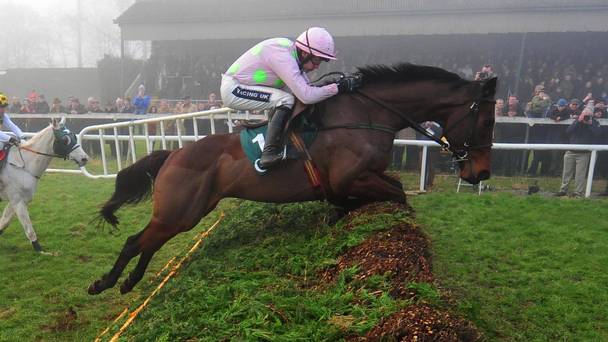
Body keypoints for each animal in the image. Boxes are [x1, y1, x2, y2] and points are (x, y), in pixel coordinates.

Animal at [0, 117, 89, 251]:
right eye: (65, 140)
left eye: (73, 136)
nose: (84, 158)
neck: (23, 165)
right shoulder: (17, 201)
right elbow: (29, 228)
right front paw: (39, 249)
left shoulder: (16, 200)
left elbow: (4, 222)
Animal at [90, 63, 496, 294]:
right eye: (487, 122)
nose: (481, 172)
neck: (366, 116)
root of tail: (173, 154)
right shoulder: (351, 178)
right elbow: (397, 195)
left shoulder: (364, 177)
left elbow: (384, 194)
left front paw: (339, 215)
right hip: (181, 210)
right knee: (135, 241)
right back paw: (105, 282)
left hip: (188, 212)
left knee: (150, 241)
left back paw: (128, 282)